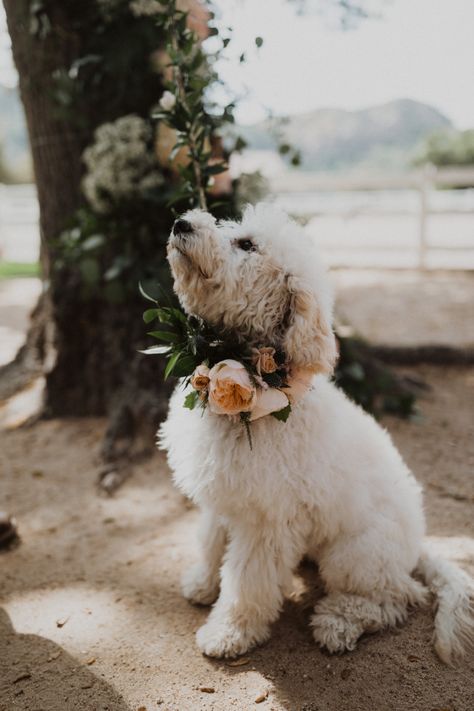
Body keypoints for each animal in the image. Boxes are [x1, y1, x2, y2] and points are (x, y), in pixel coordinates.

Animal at [158, 203, 470, 664]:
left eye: (246, 245)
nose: (182, 223)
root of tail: (417, 547)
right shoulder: (227, 492)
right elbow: (212, 540)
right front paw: (203, 582)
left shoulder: (266, 522)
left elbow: (247, 582)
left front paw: (230, 631)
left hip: (354, 556)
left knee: (397, 598)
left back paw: (338, 623)